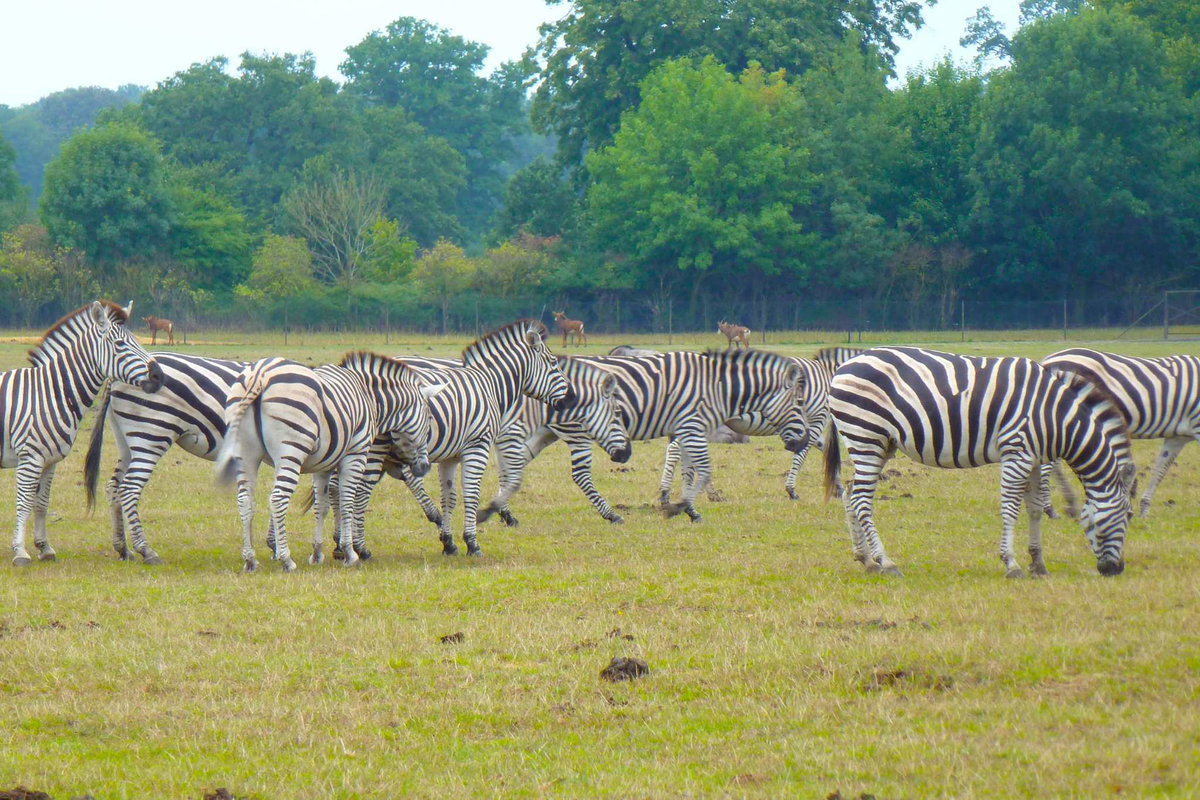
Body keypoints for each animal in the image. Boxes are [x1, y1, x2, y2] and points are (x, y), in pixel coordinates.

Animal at [6, 301, 163, 566]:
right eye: (120, 344)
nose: (159, 376)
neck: (49, 393)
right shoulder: (30, 457)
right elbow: (24, 504)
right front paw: (20, 552)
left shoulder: (49, 461)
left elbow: (41, 503)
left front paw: (44, 548)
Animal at [85, 352, 246, 564]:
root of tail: (114, 376)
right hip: (151, 433)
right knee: (129, 488)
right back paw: (146, 550)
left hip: (126, 440)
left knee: (113, 486)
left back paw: (123, 549)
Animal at [213, 352, 445, 572]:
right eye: (430, 419)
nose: (424, 467)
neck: (370, 398)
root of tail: (259, 373)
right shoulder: (356, 454)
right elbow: (347, 500)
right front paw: (350, 553)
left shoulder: (323, 464)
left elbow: (321, 506)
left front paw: (317, 554)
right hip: (291, 449)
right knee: (278, 499)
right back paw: (287, 560)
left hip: (246, 454)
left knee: (245, 501)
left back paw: (250, 560)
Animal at [823, 346, 1136, 577]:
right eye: (1126, 516)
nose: (1116, 570)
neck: (1057, 417)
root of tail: (843, 367)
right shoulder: (1017, 452)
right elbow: (1010, 509)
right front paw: (1012, 564)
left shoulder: (1035, 459)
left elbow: (1035, 509)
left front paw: (1038, 563)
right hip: (866, 435)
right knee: (861, 499)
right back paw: (886, 562)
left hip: (878, 442)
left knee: (850, 493)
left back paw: (866, 560)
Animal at [1040, 348, 1200, 518]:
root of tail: (1048, 360)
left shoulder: (1177, 438)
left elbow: (1160, 469)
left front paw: (1144, 509)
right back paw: (1050, 509)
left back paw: (1069, 503)